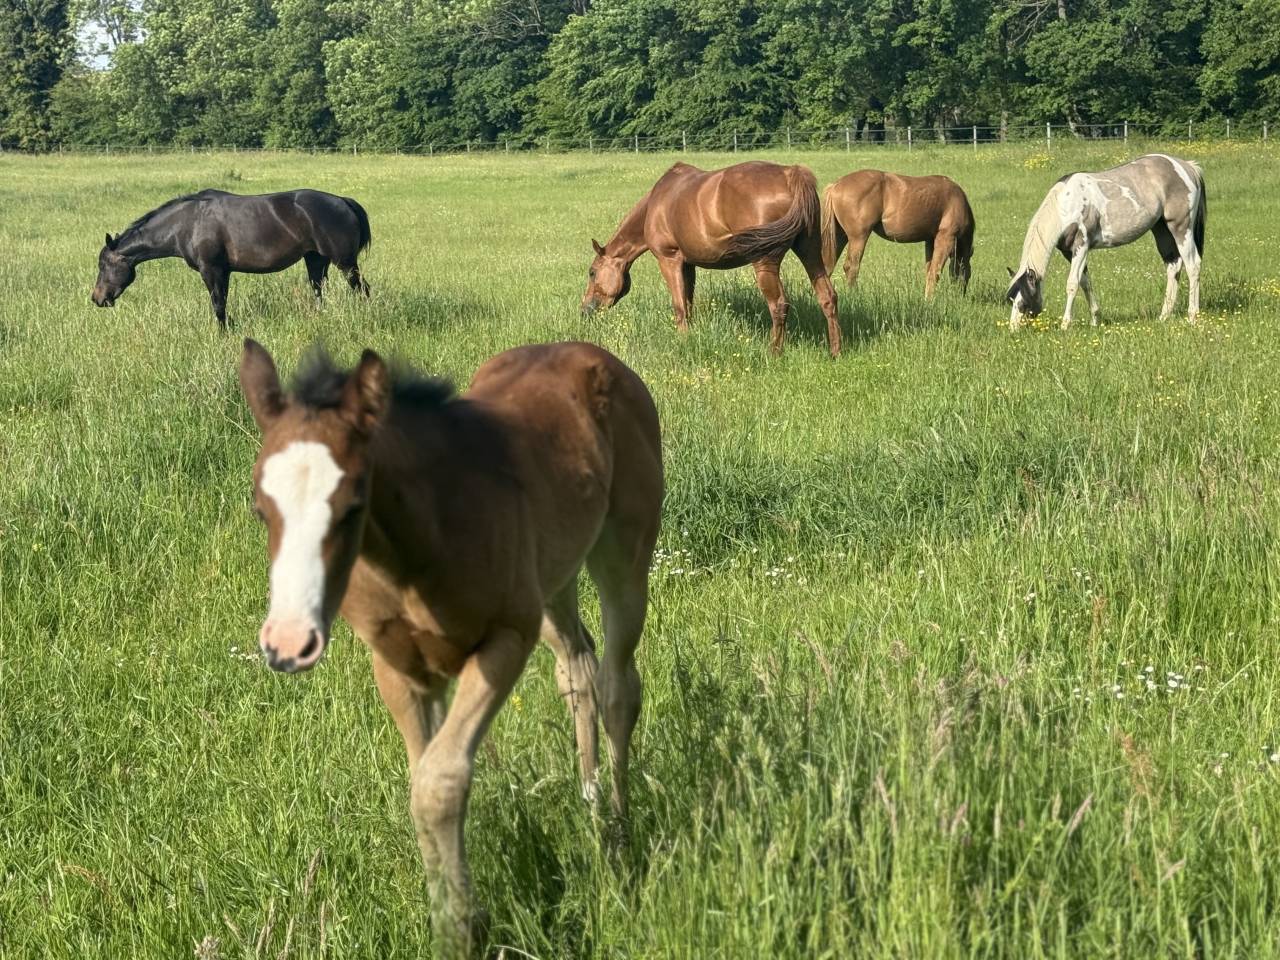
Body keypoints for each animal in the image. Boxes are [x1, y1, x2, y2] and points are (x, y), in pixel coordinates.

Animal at [93, 188, 372, 328]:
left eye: (103, 265)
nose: (97, 298)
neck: (187, 223)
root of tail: (343, 201)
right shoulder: (223, 271)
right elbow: (223, 303)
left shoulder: (212, 269)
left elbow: (218, 304)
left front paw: (223, 333)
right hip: (315, 259)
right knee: (318, 290)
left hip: (346, 263)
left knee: (362, 289)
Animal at [238, 338, 663, 956]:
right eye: (260, 507)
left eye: (353, 504)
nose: (288, 643)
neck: (421, 543)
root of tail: (590, 352)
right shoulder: (398, 667)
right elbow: (421, 784)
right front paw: (448, 917)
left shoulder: (506, 637)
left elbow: (440, 781)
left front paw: (463, 930)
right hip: (552, 581)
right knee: (577, 666)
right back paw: (587, 803)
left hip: (623, 550)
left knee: (617, 686)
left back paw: (618, 835)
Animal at [581, 160, 842, 356]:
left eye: (592, 272)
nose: (585, 310)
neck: (656, 204)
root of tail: (790, 174)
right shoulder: (688, 264)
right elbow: (688, 303)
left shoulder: (669, 260)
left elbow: (679, 306)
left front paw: (683, 341)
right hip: (810, 252)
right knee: (827, 297)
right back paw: (835, 351)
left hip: (765, 261)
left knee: (779, 305)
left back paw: (774, 352)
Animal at [820, 170, 974, 297]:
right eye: (968, 273)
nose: (961, 295)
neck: (957, 201)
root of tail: (835, 186)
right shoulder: (945, 238)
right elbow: (934, 272)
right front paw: (929, 300)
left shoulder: (930, 240)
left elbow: (928, 269)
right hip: (858, 237)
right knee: (851, 267)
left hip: (840, 236)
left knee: (827, 266)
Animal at [1006, 154, 1206, 330]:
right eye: (1011, 300)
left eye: (1023, 302)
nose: (1013, 329)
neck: (1066, 205)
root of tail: (1188, 167)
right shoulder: (1069, 252)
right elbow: (1085, 283)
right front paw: (1095, 320)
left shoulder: (1081, 246)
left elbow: (1072, 284)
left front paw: (1065, 325)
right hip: (1161, 229)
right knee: (1173, 266)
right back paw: (1163, 317)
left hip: (1181, 229)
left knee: (1193, 265)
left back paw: (1192, 317)